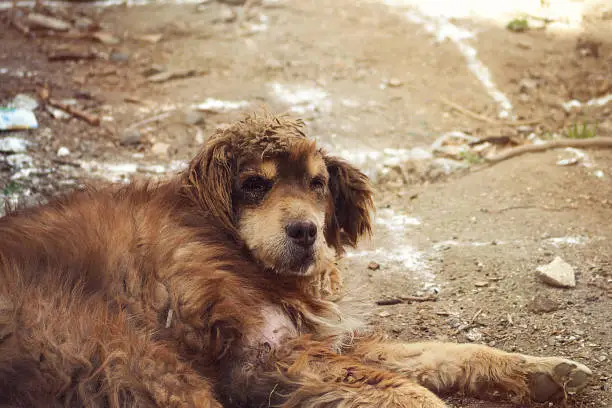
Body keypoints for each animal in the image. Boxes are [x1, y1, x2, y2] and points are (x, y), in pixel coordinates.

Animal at [0, 113, 592, 406]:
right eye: (253, 186)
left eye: (317, 184)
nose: (306, 232)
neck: (235, 251)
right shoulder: (266, 355)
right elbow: (410, 390)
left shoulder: (323, 339)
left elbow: (445, 353)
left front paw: (542, 369)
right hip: (143, 361)